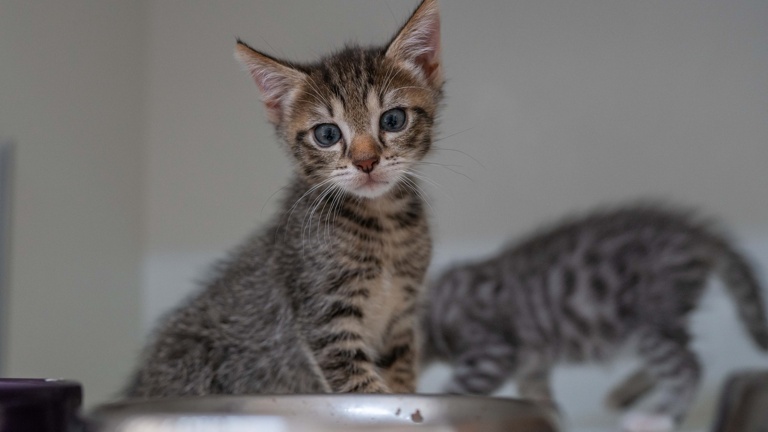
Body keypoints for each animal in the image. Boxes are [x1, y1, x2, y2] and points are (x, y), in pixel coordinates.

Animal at [127, 0, 444, 398]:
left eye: (393, 120)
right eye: (327, 134)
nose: (366, 162)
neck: (382, 221)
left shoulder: (401, 316)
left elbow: (399, 378)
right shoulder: (323, 312)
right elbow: (360, 385)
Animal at [424, 205, 764, 432]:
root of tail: (693, 232)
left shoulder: (490, 351)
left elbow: (457, 389)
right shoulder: (531, 366)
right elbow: (538, 394)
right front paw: (551, 413)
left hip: (647, 316)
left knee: (687, 364)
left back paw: (659, 417)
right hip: (664, 317)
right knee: (682, 350)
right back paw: (623, 394)